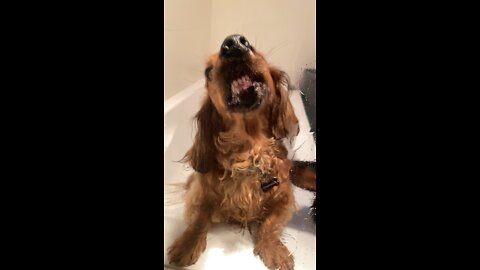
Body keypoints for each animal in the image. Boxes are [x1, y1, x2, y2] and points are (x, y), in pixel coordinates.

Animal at [169, 34, 302, 268]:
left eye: (255, 49)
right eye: (208, 72)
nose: (233, 43)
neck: (249, 152)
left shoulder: (286, 199)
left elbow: (271, 224)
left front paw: (273, 249)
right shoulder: (199, 193)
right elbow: (198, 220)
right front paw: (187, 244)